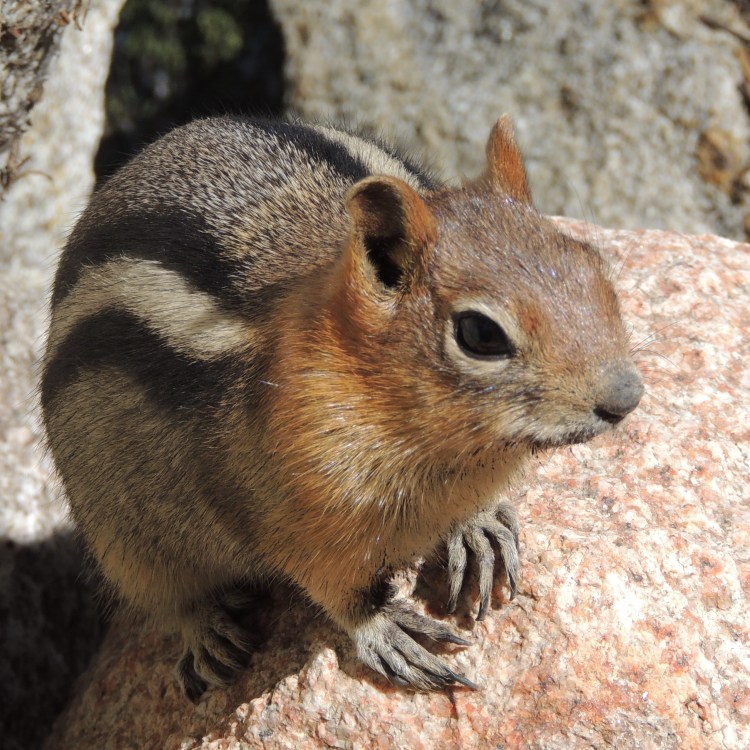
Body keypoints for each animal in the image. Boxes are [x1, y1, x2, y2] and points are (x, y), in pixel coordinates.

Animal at [41, 115, 643, 700]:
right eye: (480, 333)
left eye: (594, 266)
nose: (625, 397)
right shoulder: (301, 517)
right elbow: (337, 593)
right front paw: (384, 629)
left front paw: (479, 528)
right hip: (123, 541)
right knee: (166, 600)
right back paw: (205, 633)